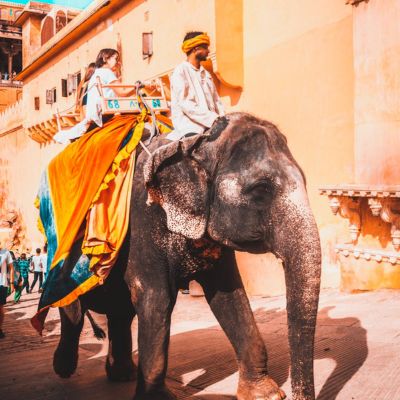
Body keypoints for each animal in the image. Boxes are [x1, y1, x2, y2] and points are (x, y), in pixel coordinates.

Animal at [54, 112, 322, 400]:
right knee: (73, 309)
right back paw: (64, 368)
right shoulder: (142, 222)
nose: (296, 395)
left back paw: (121, 374)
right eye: (260, 190)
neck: (196, 143)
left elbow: (230, 295)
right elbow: (156, 298)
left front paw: (264, 393)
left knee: (121, 311)